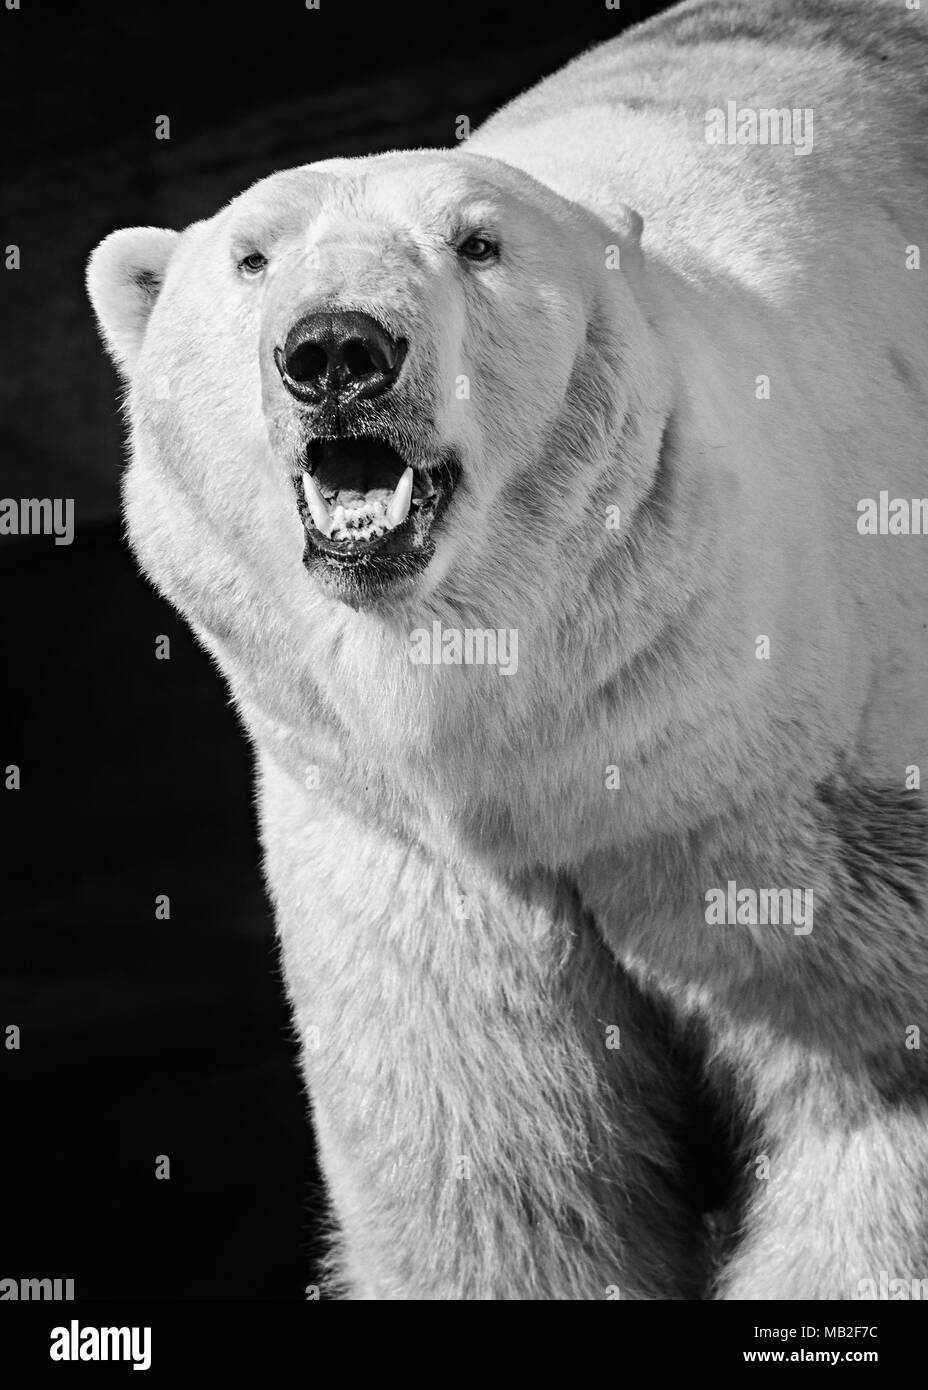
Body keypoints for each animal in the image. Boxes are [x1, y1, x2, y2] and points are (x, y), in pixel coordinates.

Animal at [87, 0, 928, 1299]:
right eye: (253, 258)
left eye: (476, 244)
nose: (339, 350)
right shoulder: (401, 850)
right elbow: (498, 1175)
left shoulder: (801, 815)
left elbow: (870, 1108)